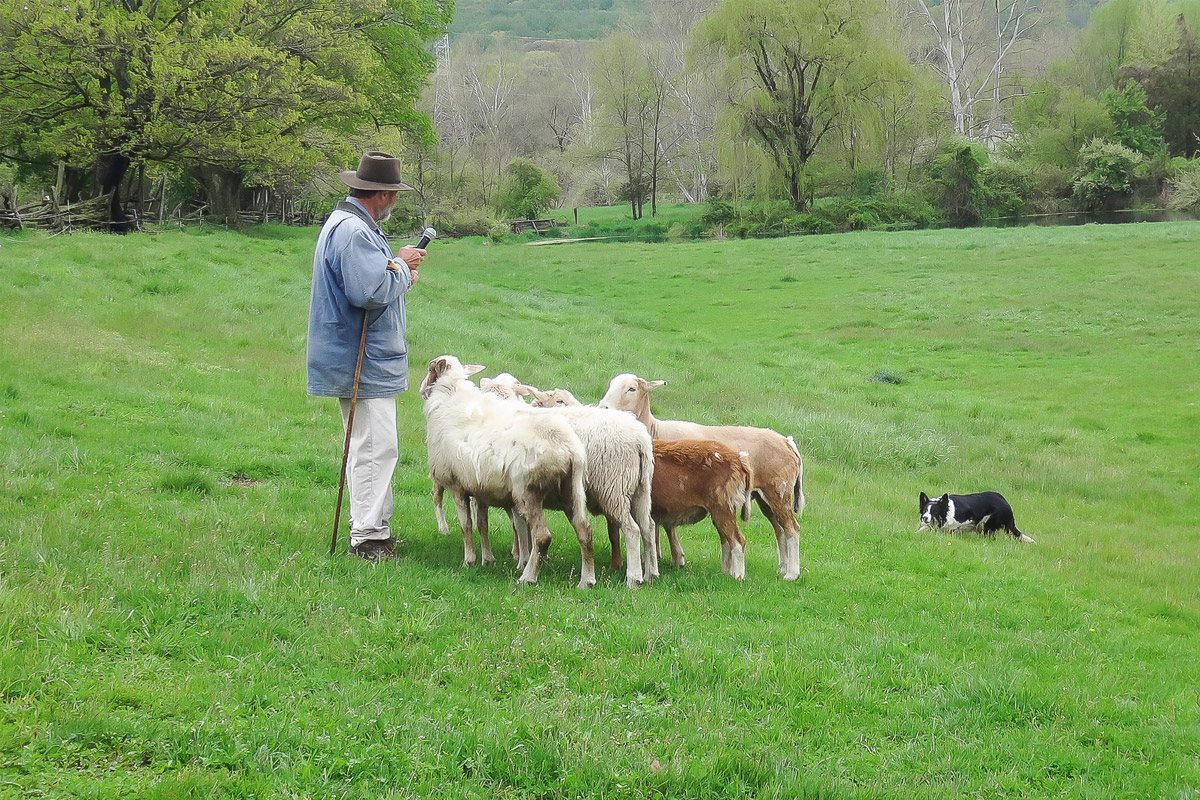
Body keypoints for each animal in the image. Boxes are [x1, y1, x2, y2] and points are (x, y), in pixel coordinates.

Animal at [420, 357, 597, 587]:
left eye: (430, 369)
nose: (421, 390)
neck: (449, 397)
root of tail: (567, 447)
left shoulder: (456, 484)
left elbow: (465, 525)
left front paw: (469, 560)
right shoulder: (480, 489)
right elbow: (482, 524)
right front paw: (487, 559)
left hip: (528, 492)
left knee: (542, 536)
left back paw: (528, 577)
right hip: (571, 490)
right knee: (585, 531)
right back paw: (587, 581)